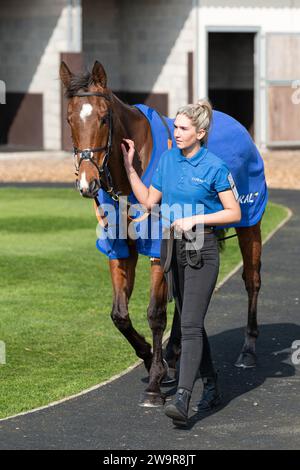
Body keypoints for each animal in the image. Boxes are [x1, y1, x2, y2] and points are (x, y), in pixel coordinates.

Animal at [59, 60, 266, 408]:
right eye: (70, 119)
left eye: (103, 117)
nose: (88, 183)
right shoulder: (119, 248)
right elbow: (119, 315)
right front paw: (150, 358)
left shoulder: (160, 247)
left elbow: (155, 313)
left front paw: (155, 381)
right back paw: (175, 349)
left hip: (249, 222)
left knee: (251, 280)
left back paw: (249, 351)